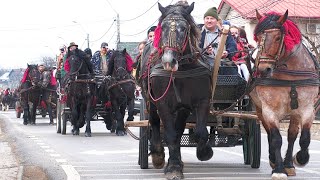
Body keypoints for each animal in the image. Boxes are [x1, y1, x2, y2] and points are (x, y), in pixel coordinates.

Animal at [138, 2, 211, 179]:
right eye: (163, 27)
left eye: (184, 28)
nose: (168, 61)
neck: (181, 70)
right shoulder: (162, 103)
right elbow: (170, 134)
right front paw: (173, 167)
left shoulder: (200, 102)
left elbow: (199, 132)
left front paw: (204, 151)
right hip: (150, 100)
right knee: (155, 123)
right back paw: (158, 154)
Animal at [250, 10, 320, 180]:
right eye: (259, 37)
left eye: (277, 37)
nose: (263, 70)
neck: (290, 75)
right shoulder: (269, 110)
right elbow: (275, 138)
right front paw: (278, 169)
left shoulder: (307, 109)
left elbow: (304, 138)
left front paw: (300, 158)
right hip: (259, 109)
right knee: (269, 134)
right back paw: (275, 160)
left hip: (294, 112)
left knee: (292, 135)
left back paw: (289, 164)